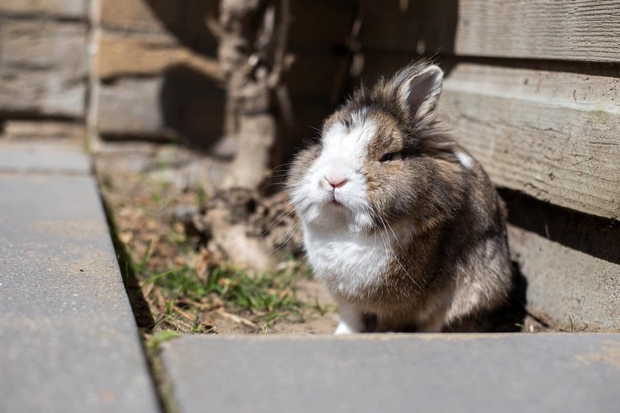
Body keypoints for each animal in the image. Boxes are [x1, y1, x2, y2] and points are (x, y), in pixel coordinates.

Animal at [288, 62, 512, 334]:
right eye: (321, 146)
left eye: (388, 156)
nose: (333, 179)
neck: (347, 229)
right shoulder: (345, 297)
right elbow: (350, 318)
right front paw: (342, 335)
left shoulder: (398, 304)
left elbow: (389, 322)